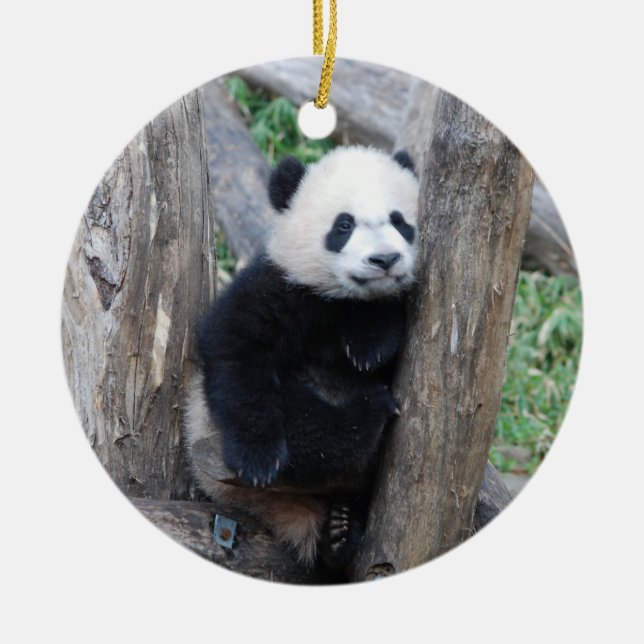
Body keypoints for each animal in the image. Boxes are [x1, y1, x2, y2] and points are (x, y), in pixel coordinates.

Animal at [183, 145, 420, 570]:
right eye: (344, 225)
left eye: (400, 221)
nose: (385, 259)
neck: (338, 299)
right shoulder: (279, 286)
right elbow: (235, 349)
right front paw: (258, 459)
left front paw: (368, 344)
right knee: (310, 427)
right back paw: (366, 411)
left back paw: (340, 529)